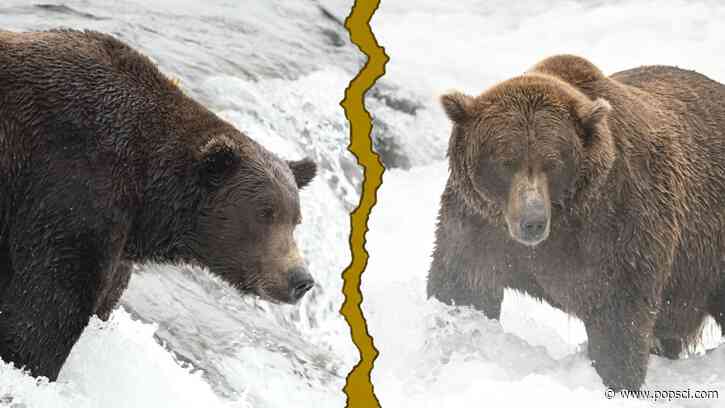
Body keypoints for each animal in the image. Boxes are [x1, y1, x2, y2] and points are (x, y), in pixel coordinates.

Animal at [0, 29, 318, 380]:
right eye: (265, 214)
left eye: (296, 220)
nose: (300, 279)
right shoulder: (73, 185)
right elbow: (48, 305)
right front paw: (31, 364)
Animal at [427, 54, 725, 391]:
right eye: (505, 162)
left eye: (553, 163)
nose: (532, 221)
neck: (562, 223)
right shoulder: (477, 225)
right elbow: (462, 286)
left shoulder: (619, 226)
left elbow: (619, 318)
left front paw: (615, 380)